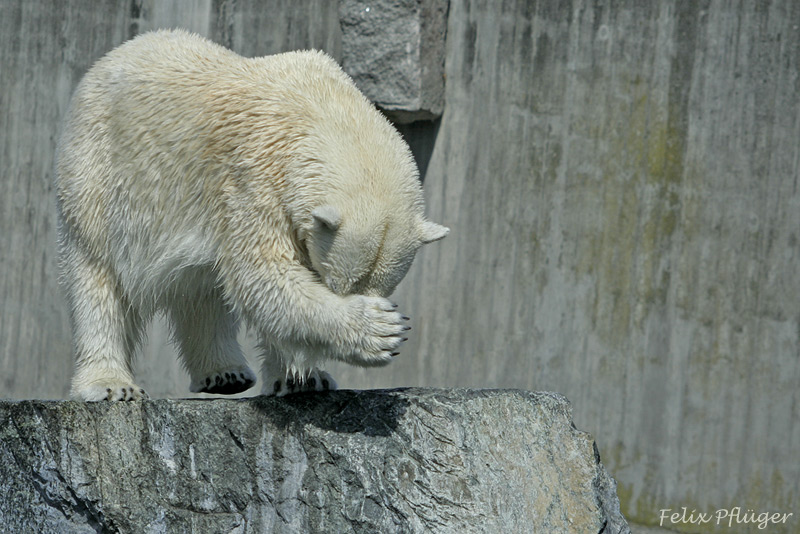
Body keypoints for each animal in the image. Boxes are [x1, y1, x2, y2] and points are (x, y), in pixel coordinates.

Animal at [54, 30, 450, 402]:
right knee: (97, 274)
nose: (366, 302)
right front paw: (381, 330)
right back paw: (110, 384)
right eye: (339, 287)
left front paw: (302, 379)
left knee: (201, 286)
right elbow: (264, 275)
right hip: (101, 173)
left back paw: (225, 374)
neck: (322, 106)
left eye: (383, 286)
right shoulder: (254, 181)